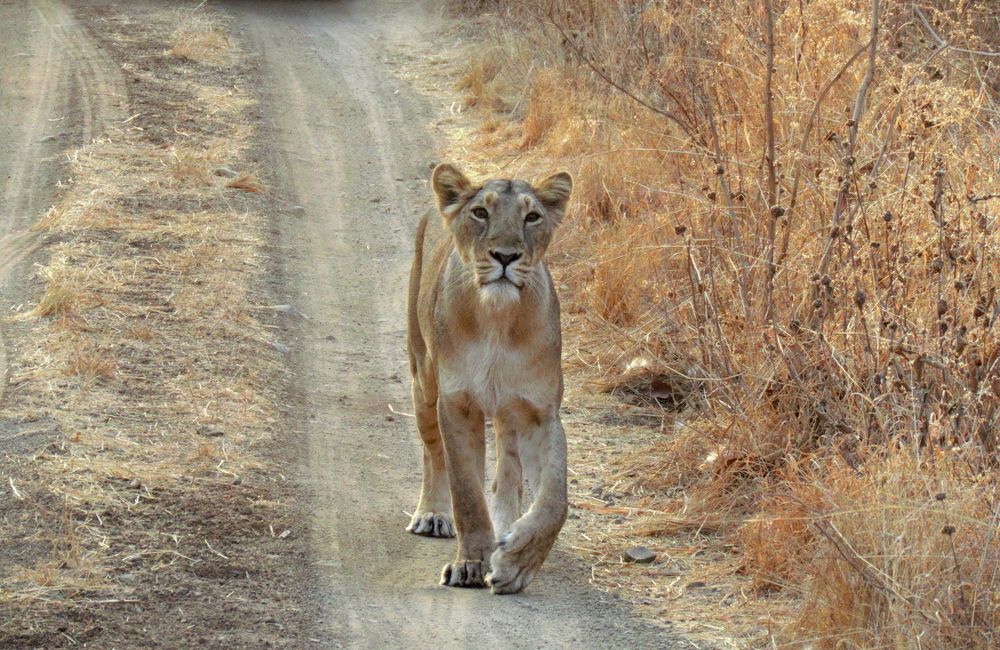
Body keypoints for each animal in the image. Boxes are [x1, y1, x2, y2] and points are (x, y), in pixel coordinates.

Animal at [405, 163, 573, 594]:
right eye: (481, 212)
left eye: (532, 217)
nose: (505, 256)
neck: (498, 320)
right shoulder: (457, 404)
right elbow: (466, 493)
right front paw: (471, 564)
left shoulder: (541, 412)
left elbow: (554, 500)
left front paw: (516, 563)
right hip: (423, 379)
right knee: (432, 452)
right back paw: (432, 514)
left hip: (508, 412)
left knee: (508, 473)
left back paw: (506, 525)